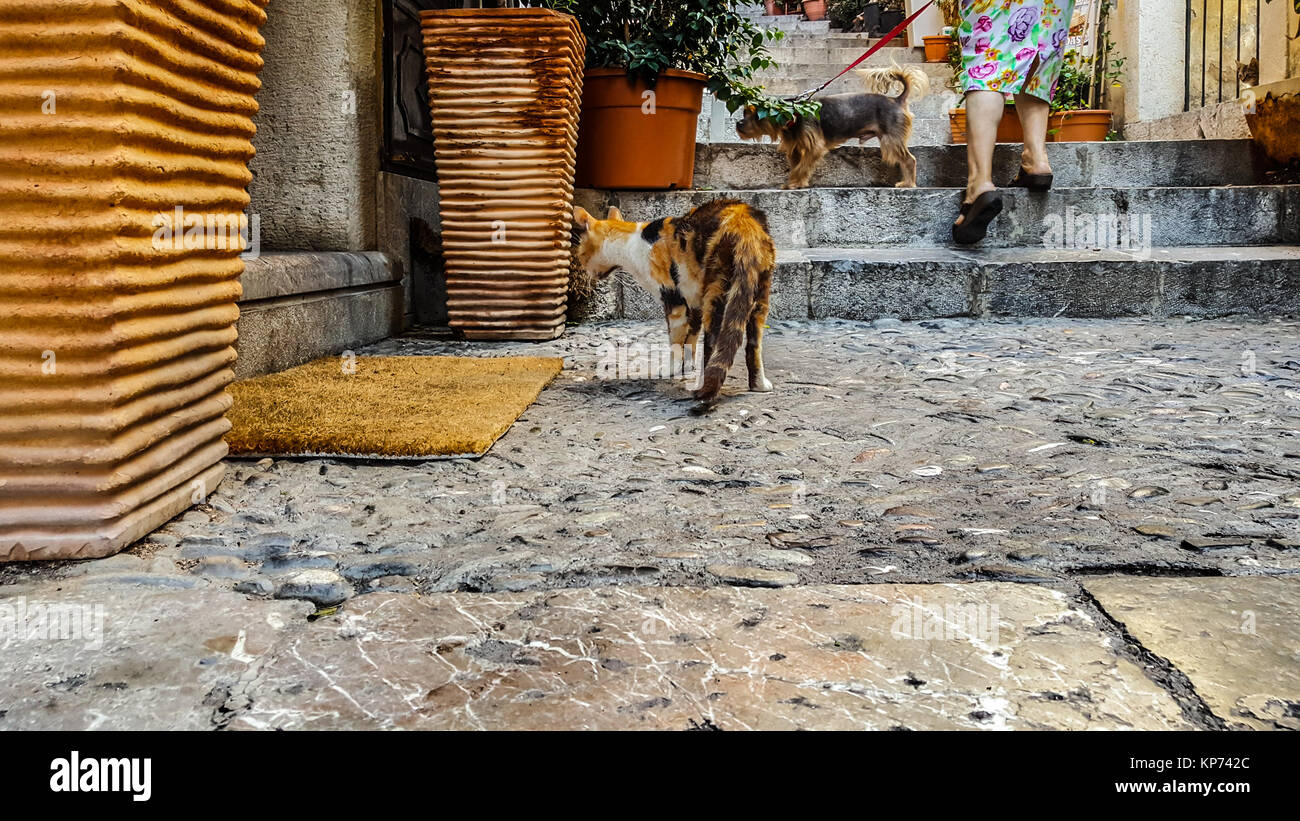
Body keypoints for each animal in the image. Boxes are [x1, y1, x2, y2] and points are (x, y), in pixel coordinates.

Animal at [574, 200, 774, 405]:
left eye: (580, 251)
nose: (584, 271)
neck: (631, 244)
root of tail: (743, 221)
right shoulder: (693, 304)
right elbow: (691, 340)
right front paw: (686, 367)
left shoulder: (674, 301)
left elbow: (675, 342)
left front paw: (671, 369)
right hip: (759, 296)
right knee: (753, 345)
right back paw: (759, 385)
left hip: (716, 293)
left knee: (712, 345)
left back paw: (701, 386)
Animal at [738, 64, 930, 189]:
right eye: (744, 112)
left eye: (757, 115)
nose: (738, 124)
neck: (795, 115)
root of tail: (897, 100)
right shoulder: (796, 147)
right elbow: (797, 166)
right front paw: (794, 182)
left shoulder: (814, 147)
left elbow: (802, 167)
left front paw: (795, 183)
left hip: (891, 139)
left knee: (909, 159)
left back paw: (909, 183)